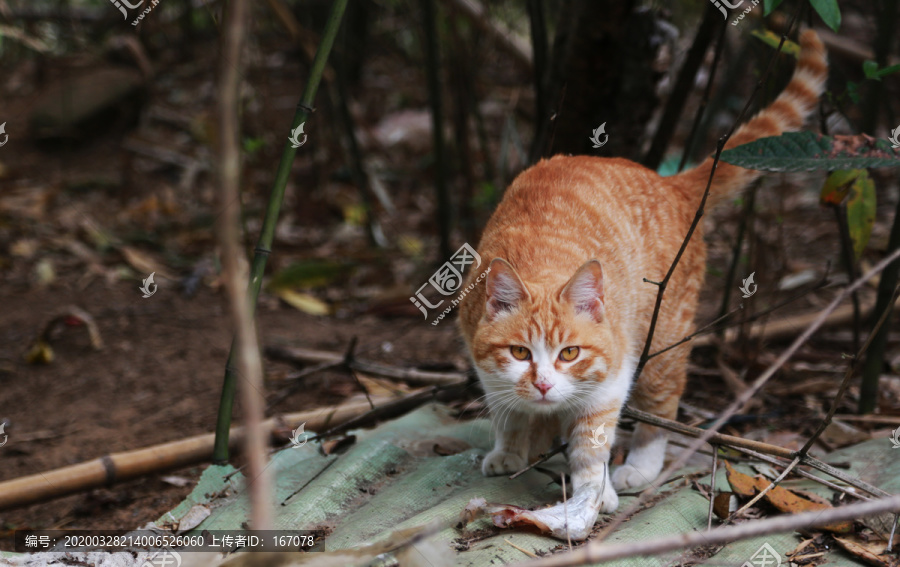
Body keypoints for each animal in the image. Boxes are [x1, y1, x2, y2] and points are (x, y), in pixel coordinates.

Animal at [460, 28, 828, 540]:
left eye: (570, 353)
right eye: (519, 353)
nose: (545, 385)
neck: (544, 260)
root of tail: (669, 183)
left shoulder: (611, 379)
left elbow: (591, 446)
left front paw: (595, 492)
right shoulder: (486, 365)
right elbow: (507, 411)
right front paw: (511, 448)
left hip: (663, 346)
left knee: (663, 404)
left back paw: (640, 464)